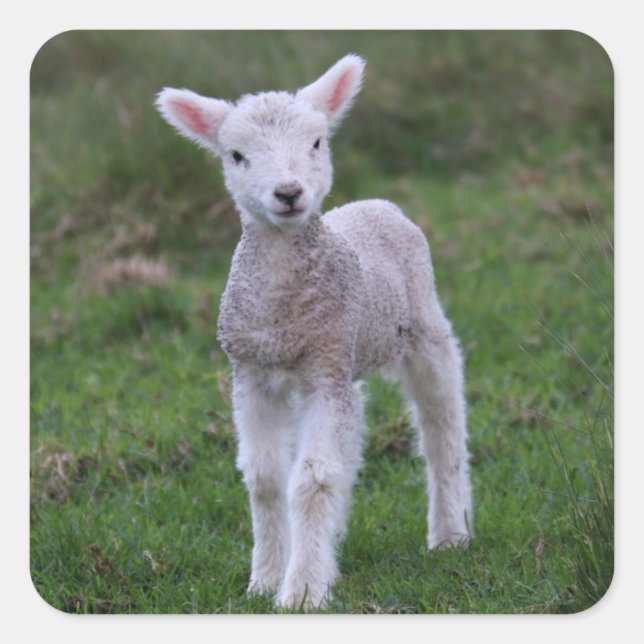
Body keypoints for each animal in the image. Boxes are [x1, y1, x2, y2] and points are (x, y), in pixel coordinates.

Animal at [155, 54, 472, 611]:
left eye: (318, 143)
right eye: (236, 155)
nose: (288, 193)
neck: (283, 310)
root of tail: (376, 203)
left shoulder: (323, 369)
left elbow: (312, 479)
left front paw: (302, 591)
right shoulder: (253, 373)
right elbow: (265, 478)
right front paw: (264, 580)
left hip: (421, 325)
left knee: (442, 423)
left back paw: (449, 533)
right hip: (347, 358)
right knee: (354, 435)